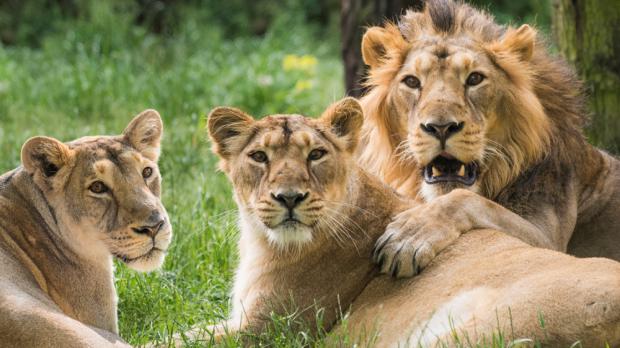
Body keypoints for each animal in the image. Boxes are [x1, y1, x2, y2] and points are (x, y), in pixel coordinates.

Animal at [356, 0, 620, 278]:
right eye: (411, 81)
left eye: (474, 78)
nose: (441, 127)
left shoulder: (547, 241)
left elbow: (466, 199)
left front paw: (408, 236)